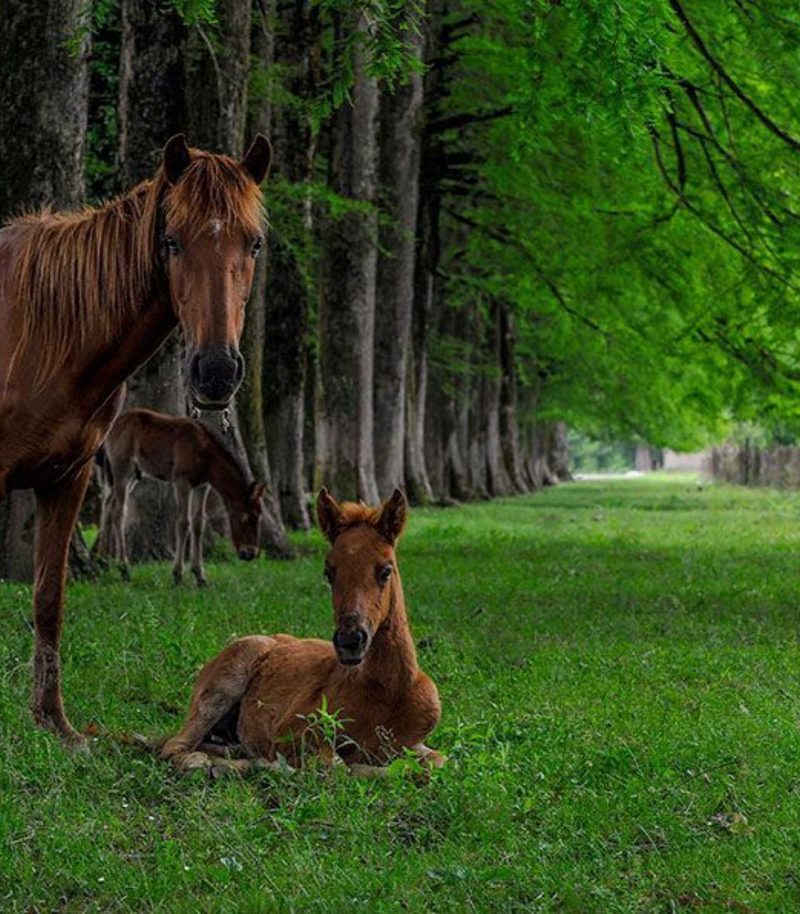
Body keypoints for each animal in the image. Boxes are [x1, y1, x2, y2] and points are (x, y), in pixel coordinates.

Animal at [98, 408, 264, 586]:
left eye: (259, 517)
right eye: (246, 518)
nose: (250, 553)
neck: (205, 453)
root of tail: (112, 426)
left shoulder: (202, 487)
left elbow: (198, 524)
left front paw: (200, 575)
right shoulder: (182, 483)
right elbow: (183, 522)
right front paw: (178, 573)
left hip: (133, 475)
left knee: (108, 507)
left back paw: (104, 561)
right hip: (122, 470)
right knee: (118, 512)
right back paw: (124, 568)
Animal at [161, 488, 445, 774]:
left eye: (386, 570)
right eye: (329, 573)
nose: (350, 640)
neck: (389, 692)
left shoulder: (413, 744)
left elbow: (436, 761)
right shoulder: (292, 730)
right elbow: (339, 767)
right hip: (221, 688)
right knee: (175, 747)